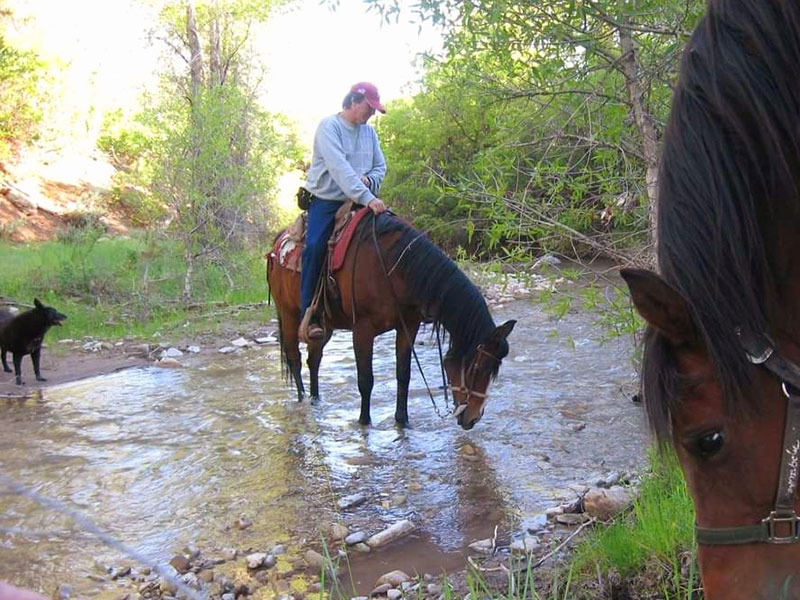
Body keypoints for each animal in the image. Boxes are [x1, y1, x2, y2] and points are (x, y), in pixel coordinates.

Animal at [266, 211, 516, 432]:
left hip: (323, 326)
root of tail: (277, 244)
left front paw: (402, 421)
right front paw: (364, 422)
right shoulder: (362, 330)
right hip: (289, 314)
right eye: (477, 367)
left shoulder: (408, 327)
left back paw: (316, 400)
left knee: (314, 359)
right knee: (295, 359)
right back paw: (303, 400)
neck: (393, 268)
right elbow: (365, 380)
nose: (473, 418)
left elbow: (403, 375)